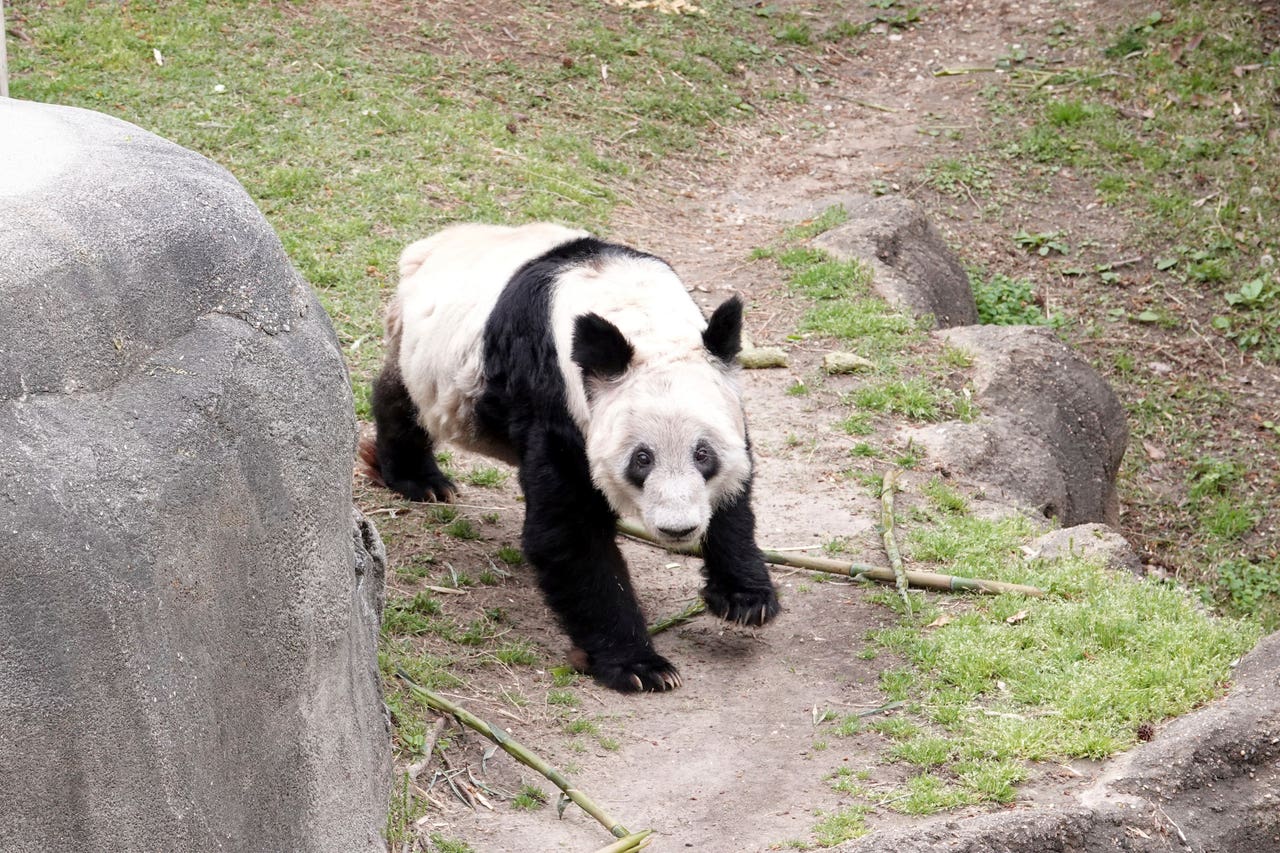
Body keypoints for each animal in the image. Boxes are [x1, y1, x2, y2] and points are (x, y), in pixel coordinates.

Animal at [360, 220, 778, 691]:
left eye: (703, 455)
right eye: (642, 459)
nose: (678, 529)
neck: (637, 313)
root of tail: (431, 244)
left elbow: (735, 493)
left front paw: (745, 597)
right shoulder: (554, 396)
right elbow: (568, 531)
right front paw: (638, 665)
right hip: (423, 351)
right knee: (402, 397)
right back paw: (419, 479)